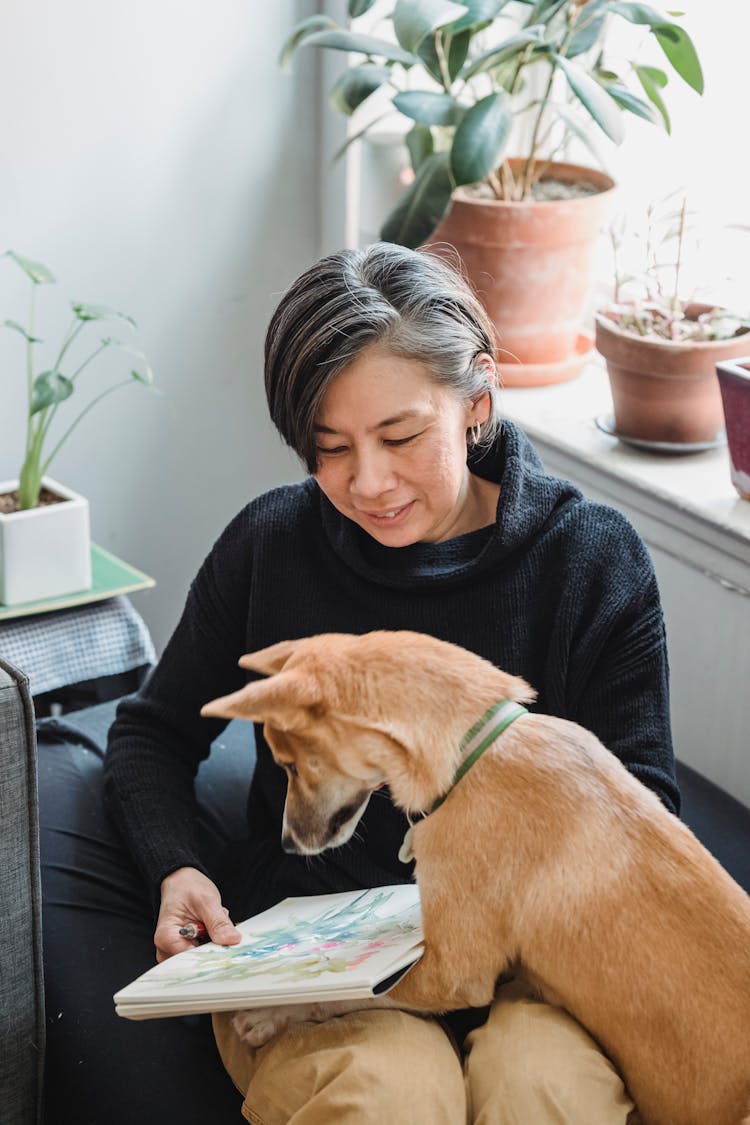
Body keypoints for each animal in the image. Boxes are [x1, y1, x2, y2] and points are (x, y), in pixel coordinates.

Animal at [202, 634, 750, 1125]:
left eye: (291, 766)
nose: (288, 844)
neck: (473, 753)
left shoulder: (450, 974)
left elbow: (340, 995)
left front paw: (270, 1014)